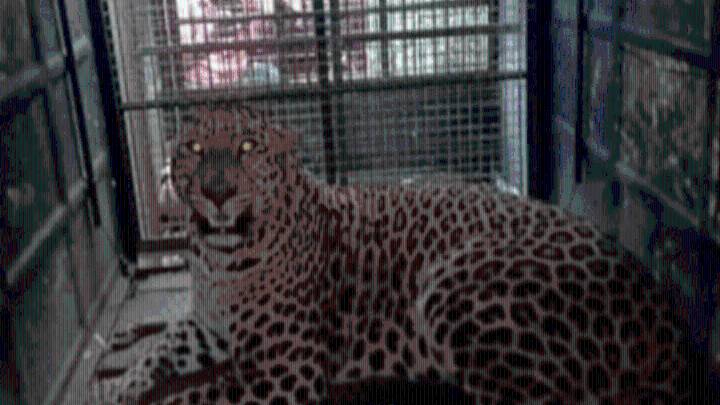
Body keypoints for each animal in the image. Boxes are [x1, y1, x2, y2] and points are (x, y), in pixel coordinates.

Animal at [102, 104, 709, 404]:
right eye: (193, 149)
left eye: (248, 148)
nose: (217, 192)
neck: (220, 259)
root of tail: (663, 313)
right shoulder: (206, 327)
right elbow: (159, 349)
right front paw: (124, 382)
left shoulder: (287, 366)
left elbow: (195, 397)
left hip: (456, 282)